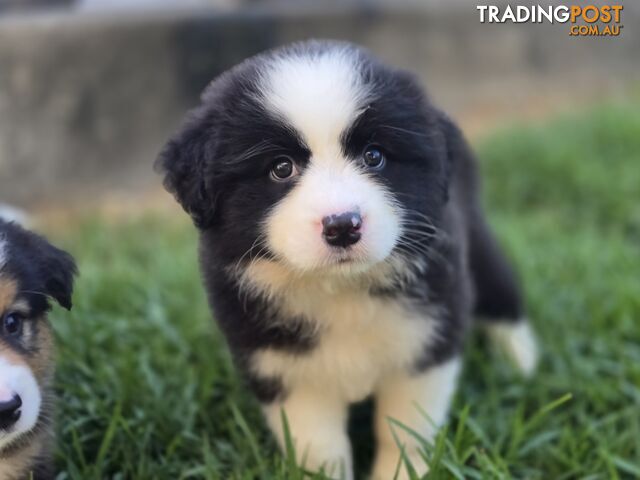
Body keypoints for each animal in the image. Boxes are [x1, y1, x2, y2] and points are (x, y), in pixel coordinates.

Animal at [158, 41, 536, 480]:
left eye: (374, 156)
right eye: (281, 168)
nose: (342, 226)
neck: (341, 289)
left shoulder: (426, 341)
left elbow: (404, 429)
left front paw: (400, 471)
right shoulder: (284, 367)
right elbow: (319, 447)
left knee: (499, 289)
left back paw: (521, 361)